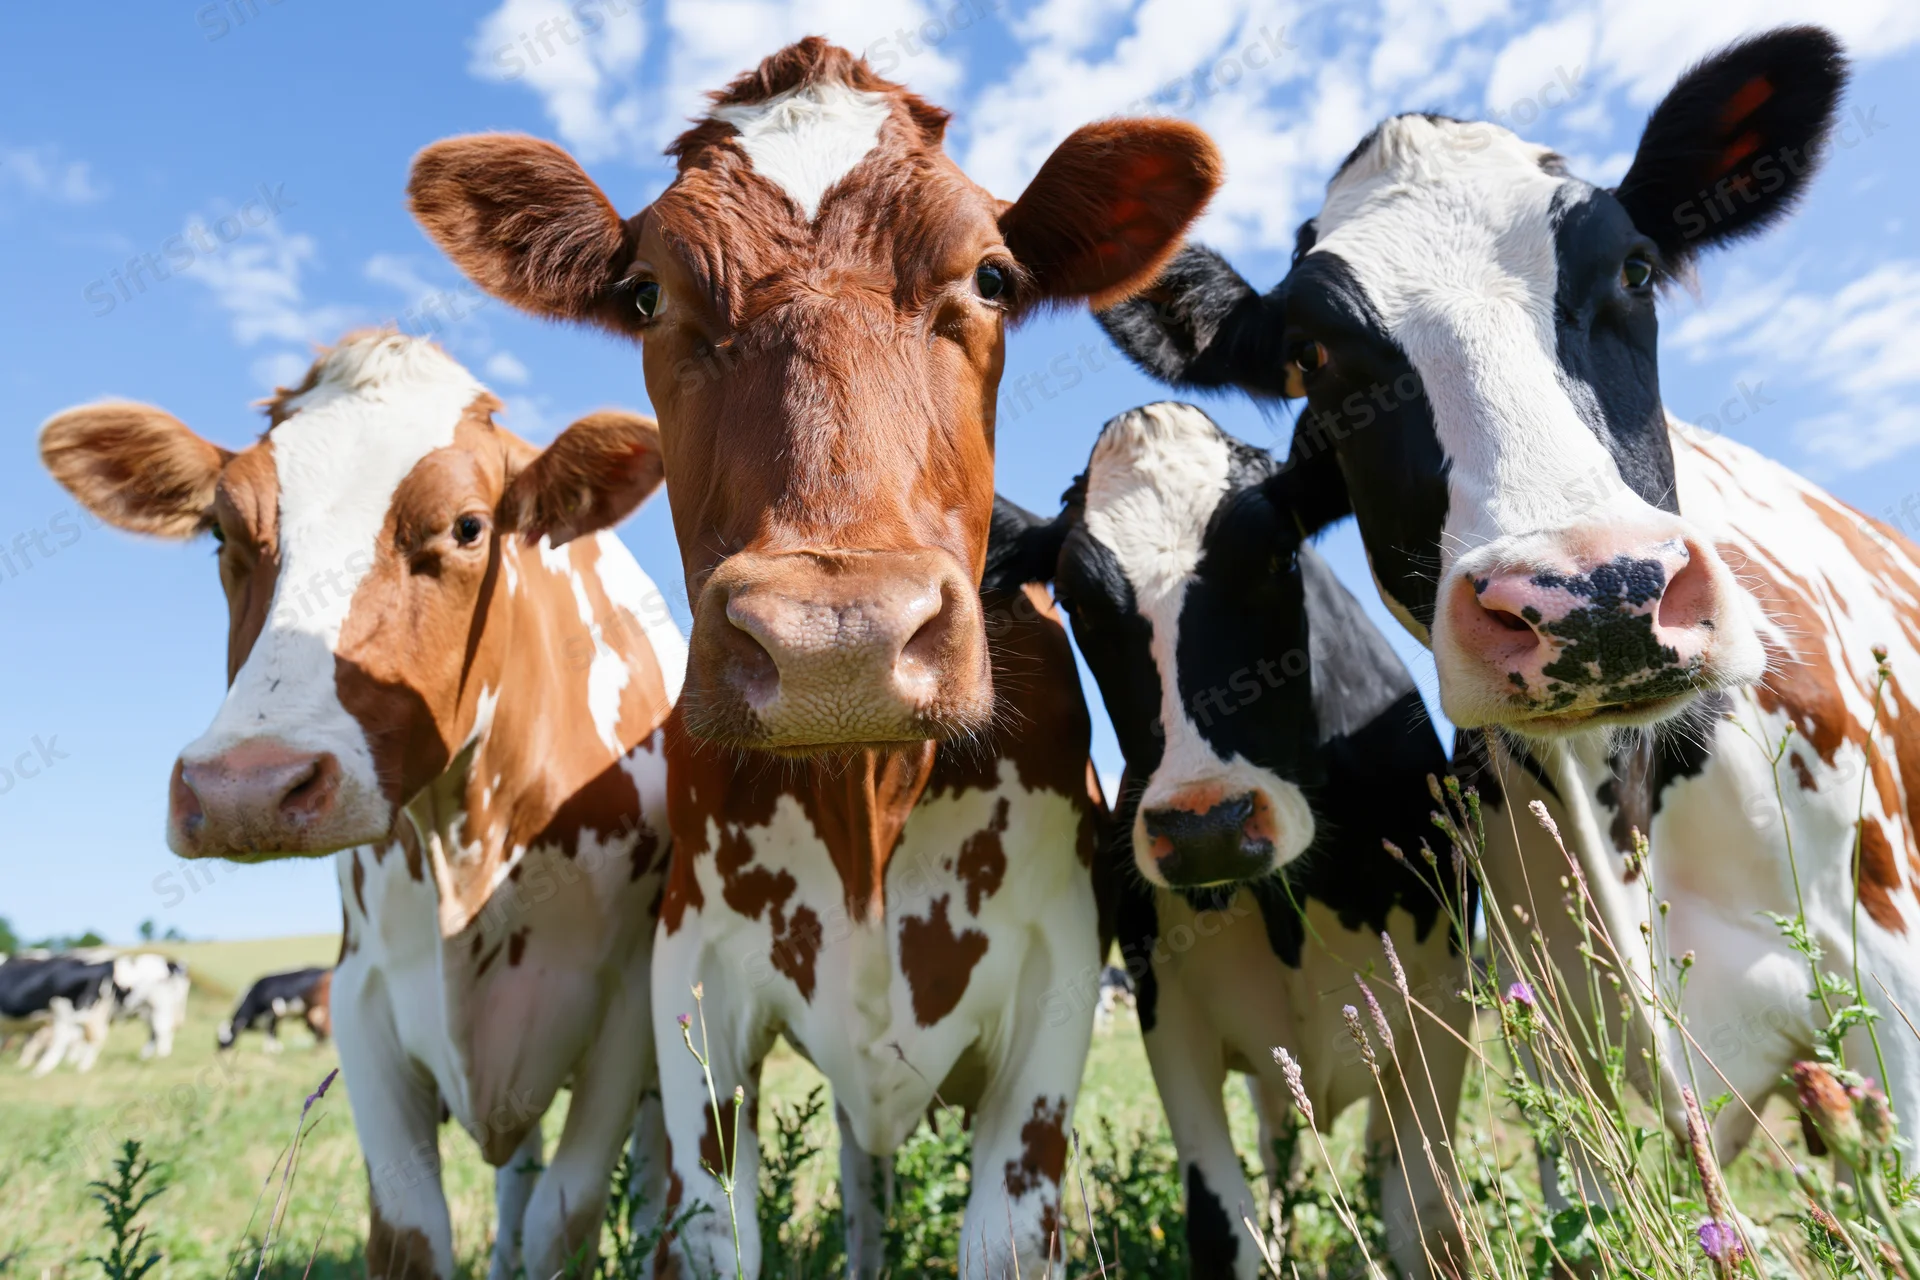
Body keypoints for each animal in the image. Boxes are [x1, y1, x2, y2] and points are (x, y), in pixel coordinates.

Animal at [40, 329, 686, 1280]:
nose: (244, 788)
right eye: (222, 530)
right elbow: (414, 1229)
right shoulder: (363, 1000)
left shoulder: (622, 1007)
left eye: (468, 526)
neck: (469, 846)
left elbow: (563, 1219)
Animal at [405, 37, 1217, 1279]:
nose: (840, 639)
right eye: (648, 292)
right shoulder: (694, 988)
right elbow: (712, 1221)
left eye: (991, 277)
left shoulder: (1057, 990)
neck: (866, 803)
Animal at [994, 402, 1470, 1276]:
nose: (1206, 827)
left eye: (1280, 553)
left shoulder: (1442, 993)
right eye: (1074, 597)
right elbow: (1224, 1223)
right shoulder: (1168, 1012)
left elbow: (1425, 1217)